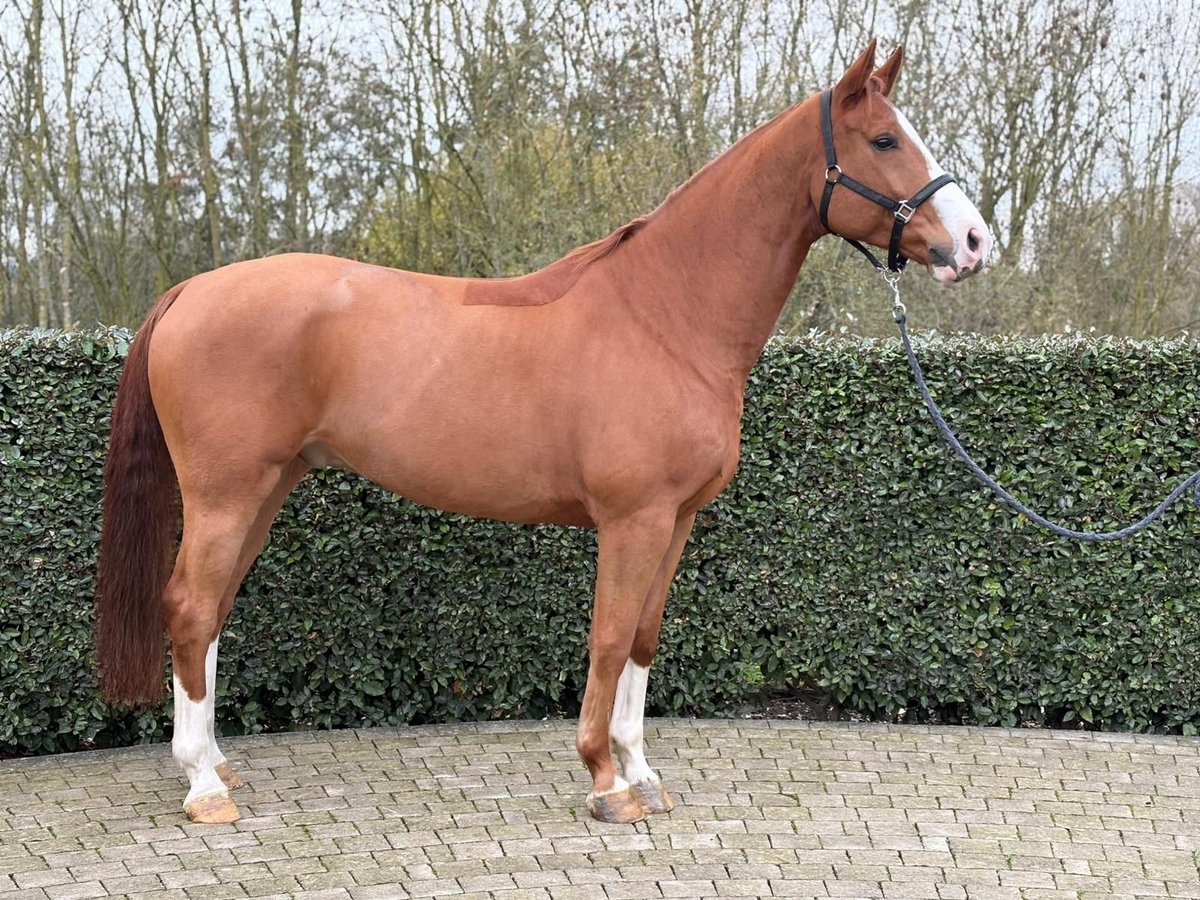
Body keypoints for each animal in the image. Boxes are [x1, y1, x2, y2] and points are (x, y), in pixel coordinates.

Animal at [95, 40, 991, 826]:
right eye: (885, 138)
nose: (975, 242)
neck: (666, 315)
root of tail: (188, 292)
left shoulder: (675, 521)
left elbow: (642, 638)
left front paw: (641, 772)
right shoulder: (631, 520)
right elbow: (607, 637)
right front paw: (605, 782)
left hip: (266, 489)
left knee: (212, 611)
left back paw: (217, 765)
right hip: (225, 494)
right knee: (189, 607)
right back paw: (203, 788)